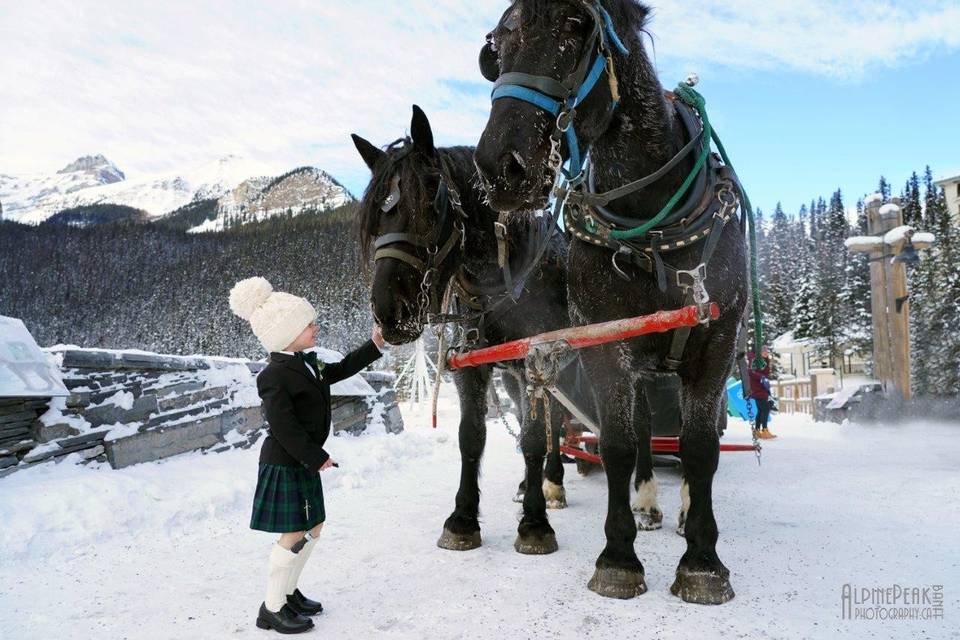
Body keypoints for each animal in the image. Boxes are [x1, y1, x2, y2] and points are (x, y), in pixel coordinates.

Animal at [356, 106, 572, 556]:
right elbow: (471, 436)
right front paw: (462, 519)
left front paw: (535, 522)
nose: (388, 311)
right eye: (373, 217)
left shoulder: (538, 361)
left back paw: (554, 482)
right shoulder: (474, 365)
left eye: (429, 195)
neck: (506, 280)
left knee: (559, 421)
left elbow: (534, 437)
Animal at [476, 0, 748, 604]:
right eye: (497, 46)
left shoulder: (716, 338)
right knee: (644, 431)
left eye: (576, 27)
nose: (501, 167)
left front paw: (702, 561)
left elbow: (699, 447)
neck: (649, 225)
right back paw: (647, 500)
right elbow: (620, 443)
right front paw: (619, 556)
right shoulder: (604, 339)